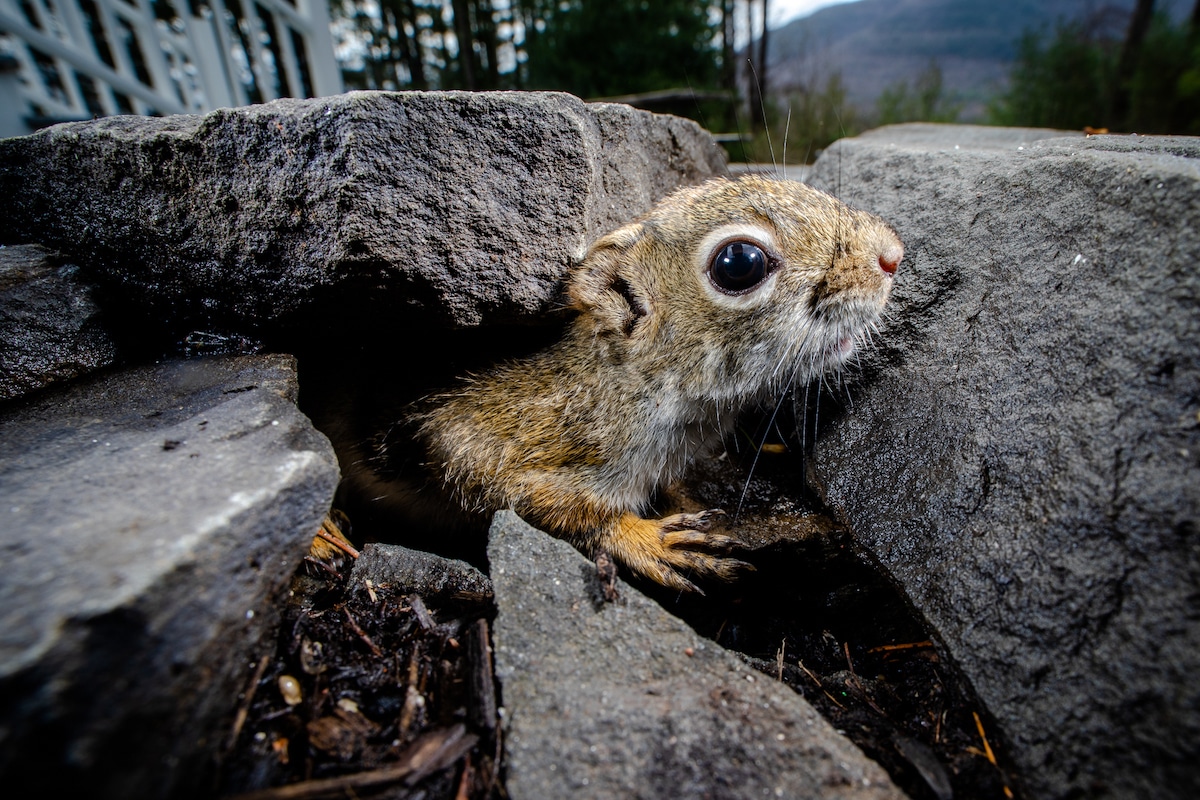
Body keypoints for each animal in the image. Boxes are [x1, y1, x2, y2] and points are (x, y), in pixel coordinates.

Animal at [331, 175, 902, 592]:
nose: (891, 255)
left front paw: (680, 496)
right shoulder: (492, 434)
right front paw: (643, 538)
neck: (638, 387)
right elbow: (519, 496)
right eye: (739, 263)